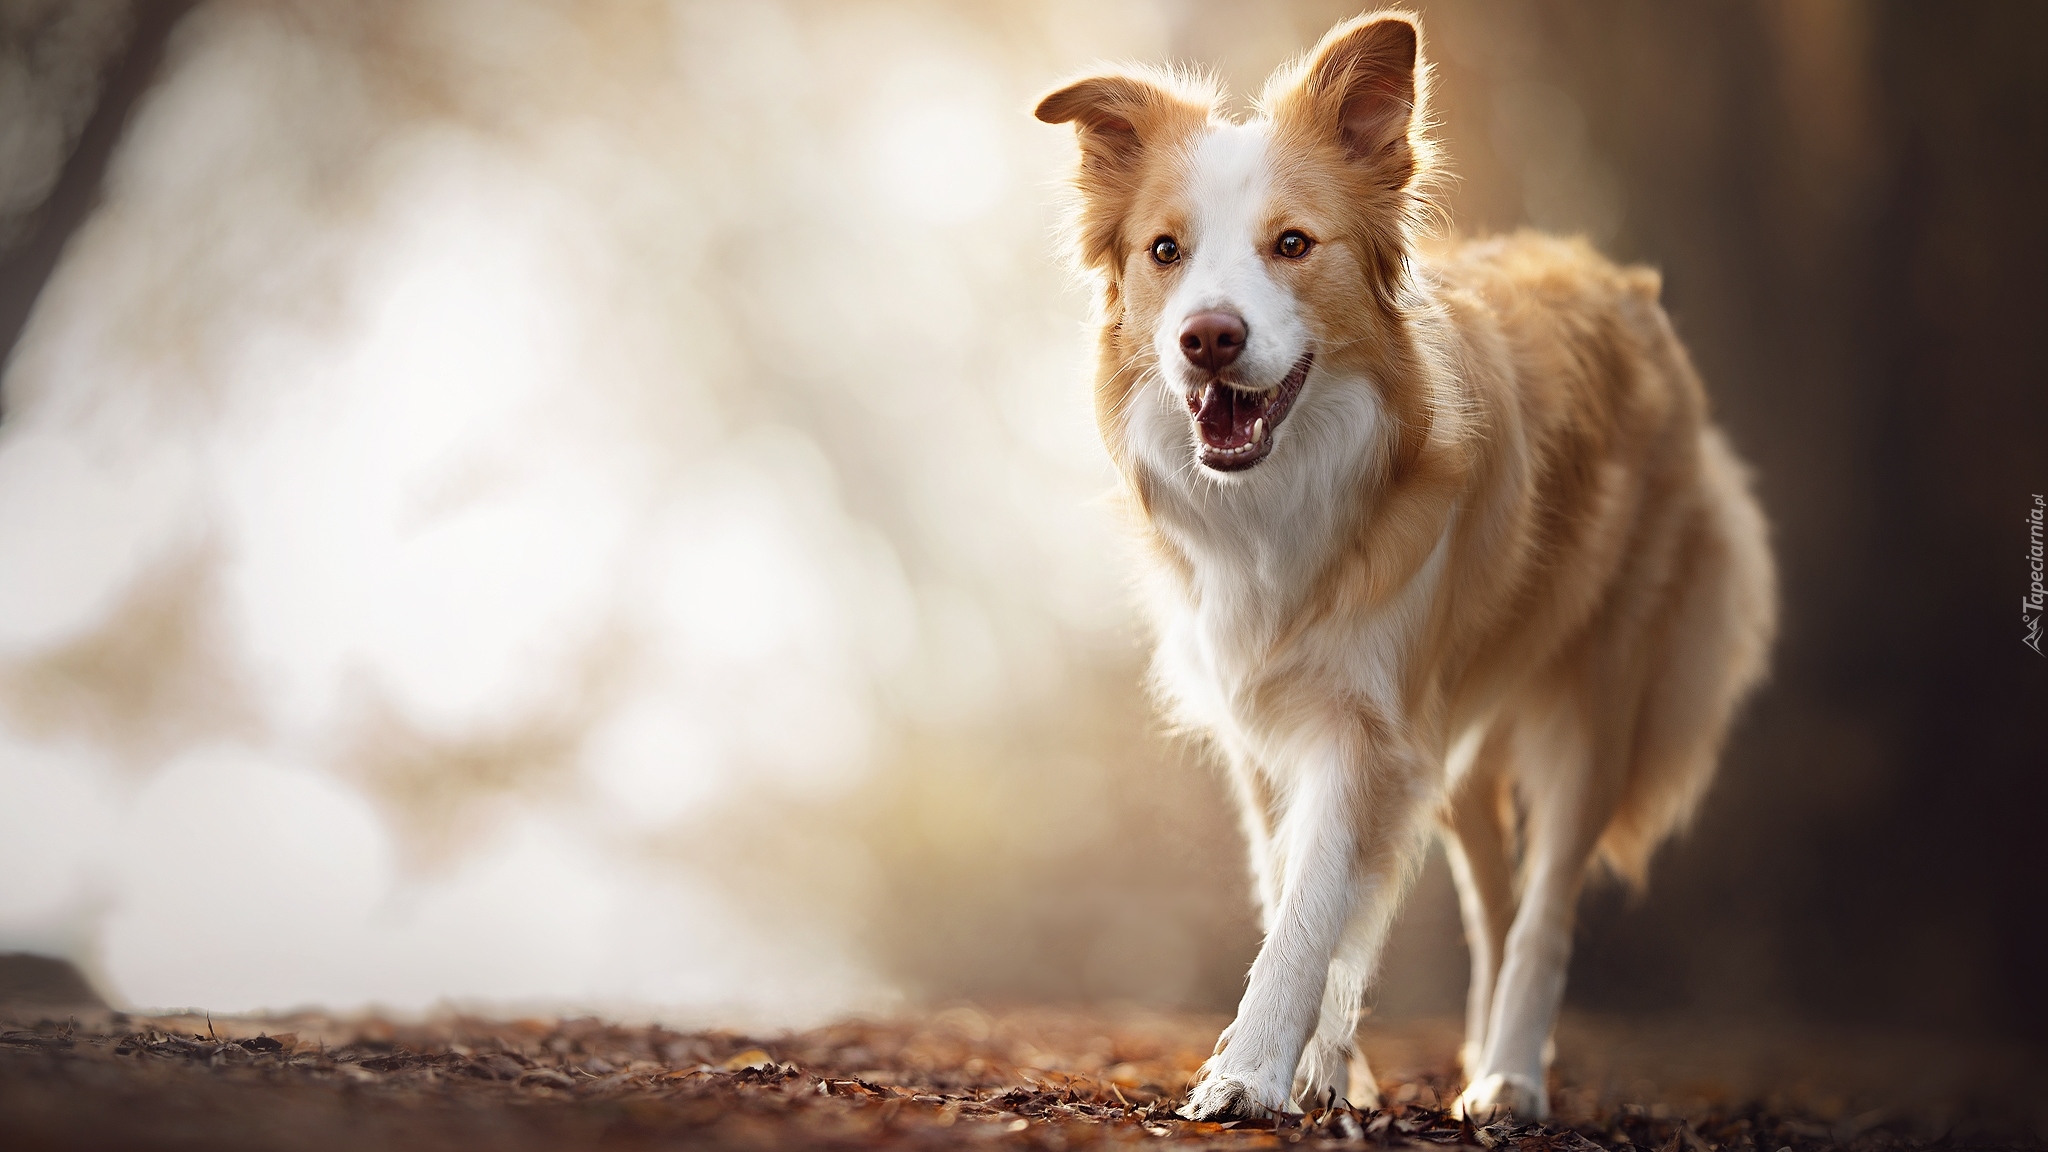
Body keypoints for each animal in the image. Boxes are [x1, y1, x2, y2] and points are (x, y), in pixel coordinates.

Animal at [1040, 11, 1777, 1123]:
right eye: (1164, 251)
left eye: (1292, 245)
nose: (1207, 338)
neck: (1283, 499)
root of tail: (1623, 282)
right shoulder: (1276, 728)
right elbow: (1295, 890)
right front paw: (1321, 1068)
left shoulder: (1366, 725)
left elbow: (1311, 909)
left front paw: (1252, 1072)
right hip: (1455, 746)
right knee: (1490, 902)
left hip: (1593, 703)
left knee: (1543, 909)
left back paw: (1511, 1076)